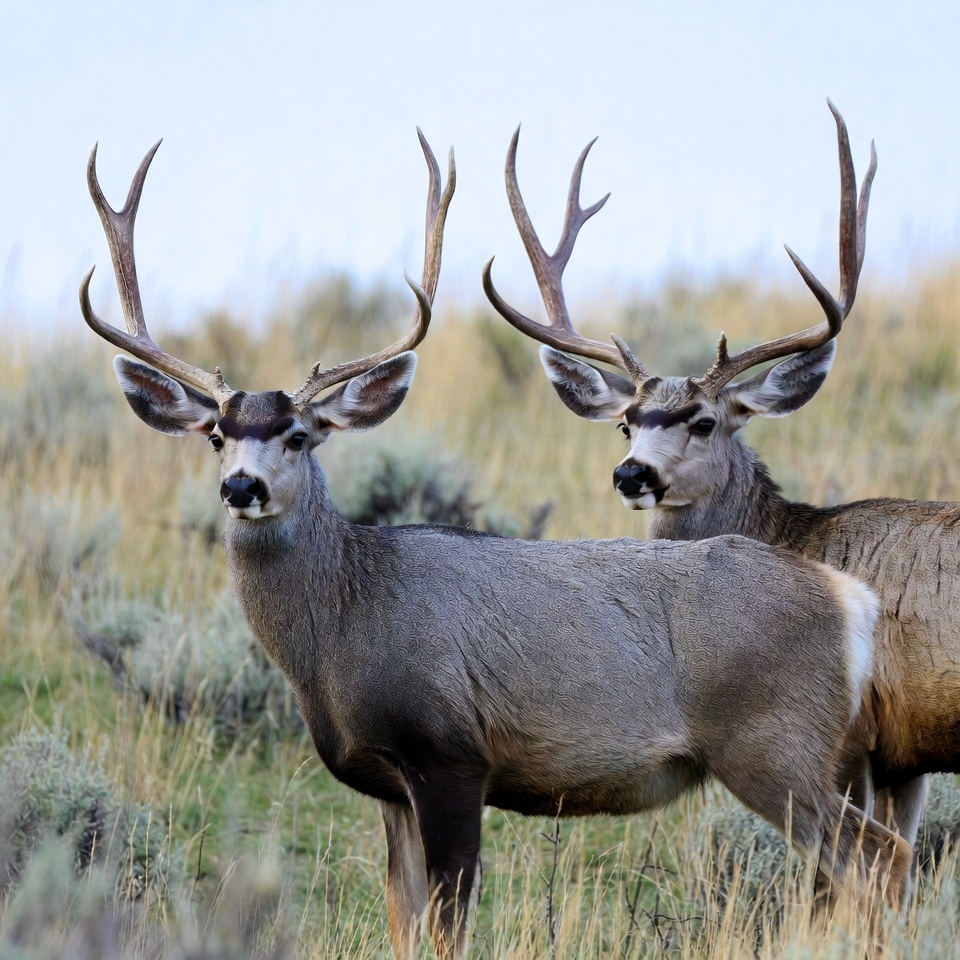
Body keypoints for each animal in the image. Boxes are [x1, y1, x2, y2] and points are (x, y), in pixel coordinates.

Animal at [79, 132, 911, 959]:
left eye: (299, 434)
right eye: (216, 435)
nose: (241, 487)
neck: (345, 626)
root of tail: (851, 599)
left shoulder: (451, 752)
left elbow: (448, 922)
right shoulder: (390, 786)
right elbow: (404, 919)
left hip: (774, 741)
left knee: (875, 855)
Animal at [483, 100, 959, 863]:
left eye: (705, 422)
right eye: (625, 424)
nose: (632, 473)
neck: (796, 534)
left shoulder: (854, 740)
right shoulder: (903, 759)